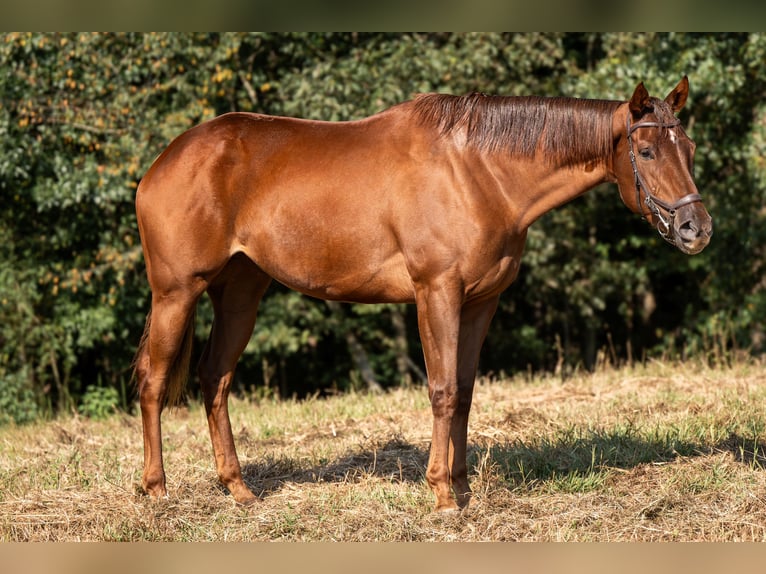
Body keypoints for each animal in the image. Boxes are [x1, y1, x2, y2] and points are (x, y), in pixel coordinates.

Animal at [134, 77, 712, 512]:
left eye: (689, 148)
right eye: (645, 150)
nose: (696, 229)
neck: (479, 172)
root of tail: (163, 161)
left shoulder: (480, 302)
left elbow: (466, 392)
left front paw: (462, 485)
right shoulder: (437, 292)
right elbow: (442, 389)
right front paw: (442, 496)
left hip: (240, 294)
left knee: (215, 379)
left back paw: (239, 490)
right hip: (176, 293)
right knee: (154, 382)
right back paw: (157, 491)